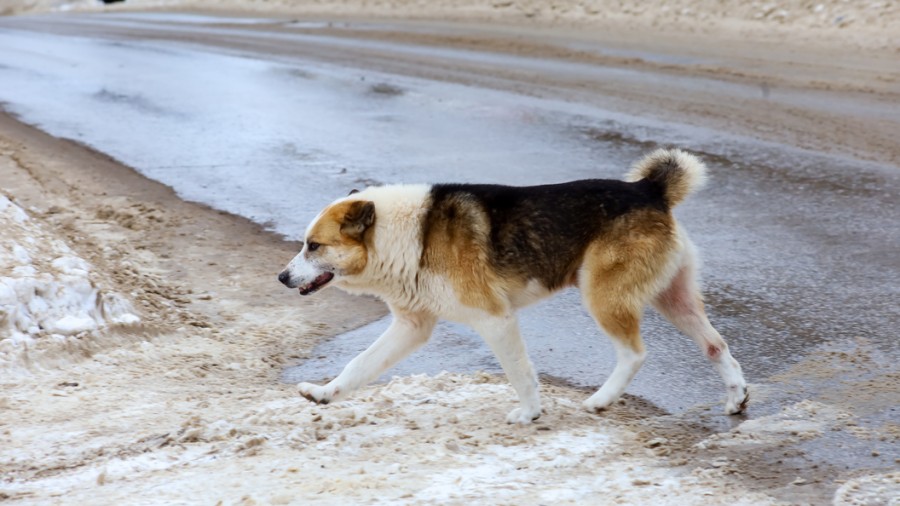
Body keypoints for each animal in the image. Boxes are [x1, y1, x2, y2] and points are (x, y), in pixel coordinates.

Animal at [278, 149, 748, 422]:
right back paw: (737, 397)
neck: (411, 234)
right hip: (674, 299)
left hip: (603, 297)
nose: (282, 277)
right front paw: (325, 394)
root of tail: (648, 189)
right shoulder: (411, 327)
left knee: (634, 354)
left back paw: (602, 399)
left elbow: (520, 373)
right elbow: (359, 365)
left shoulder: (496, 320)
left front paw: (530, 414)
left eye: (314, 246)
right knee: (716, 345)